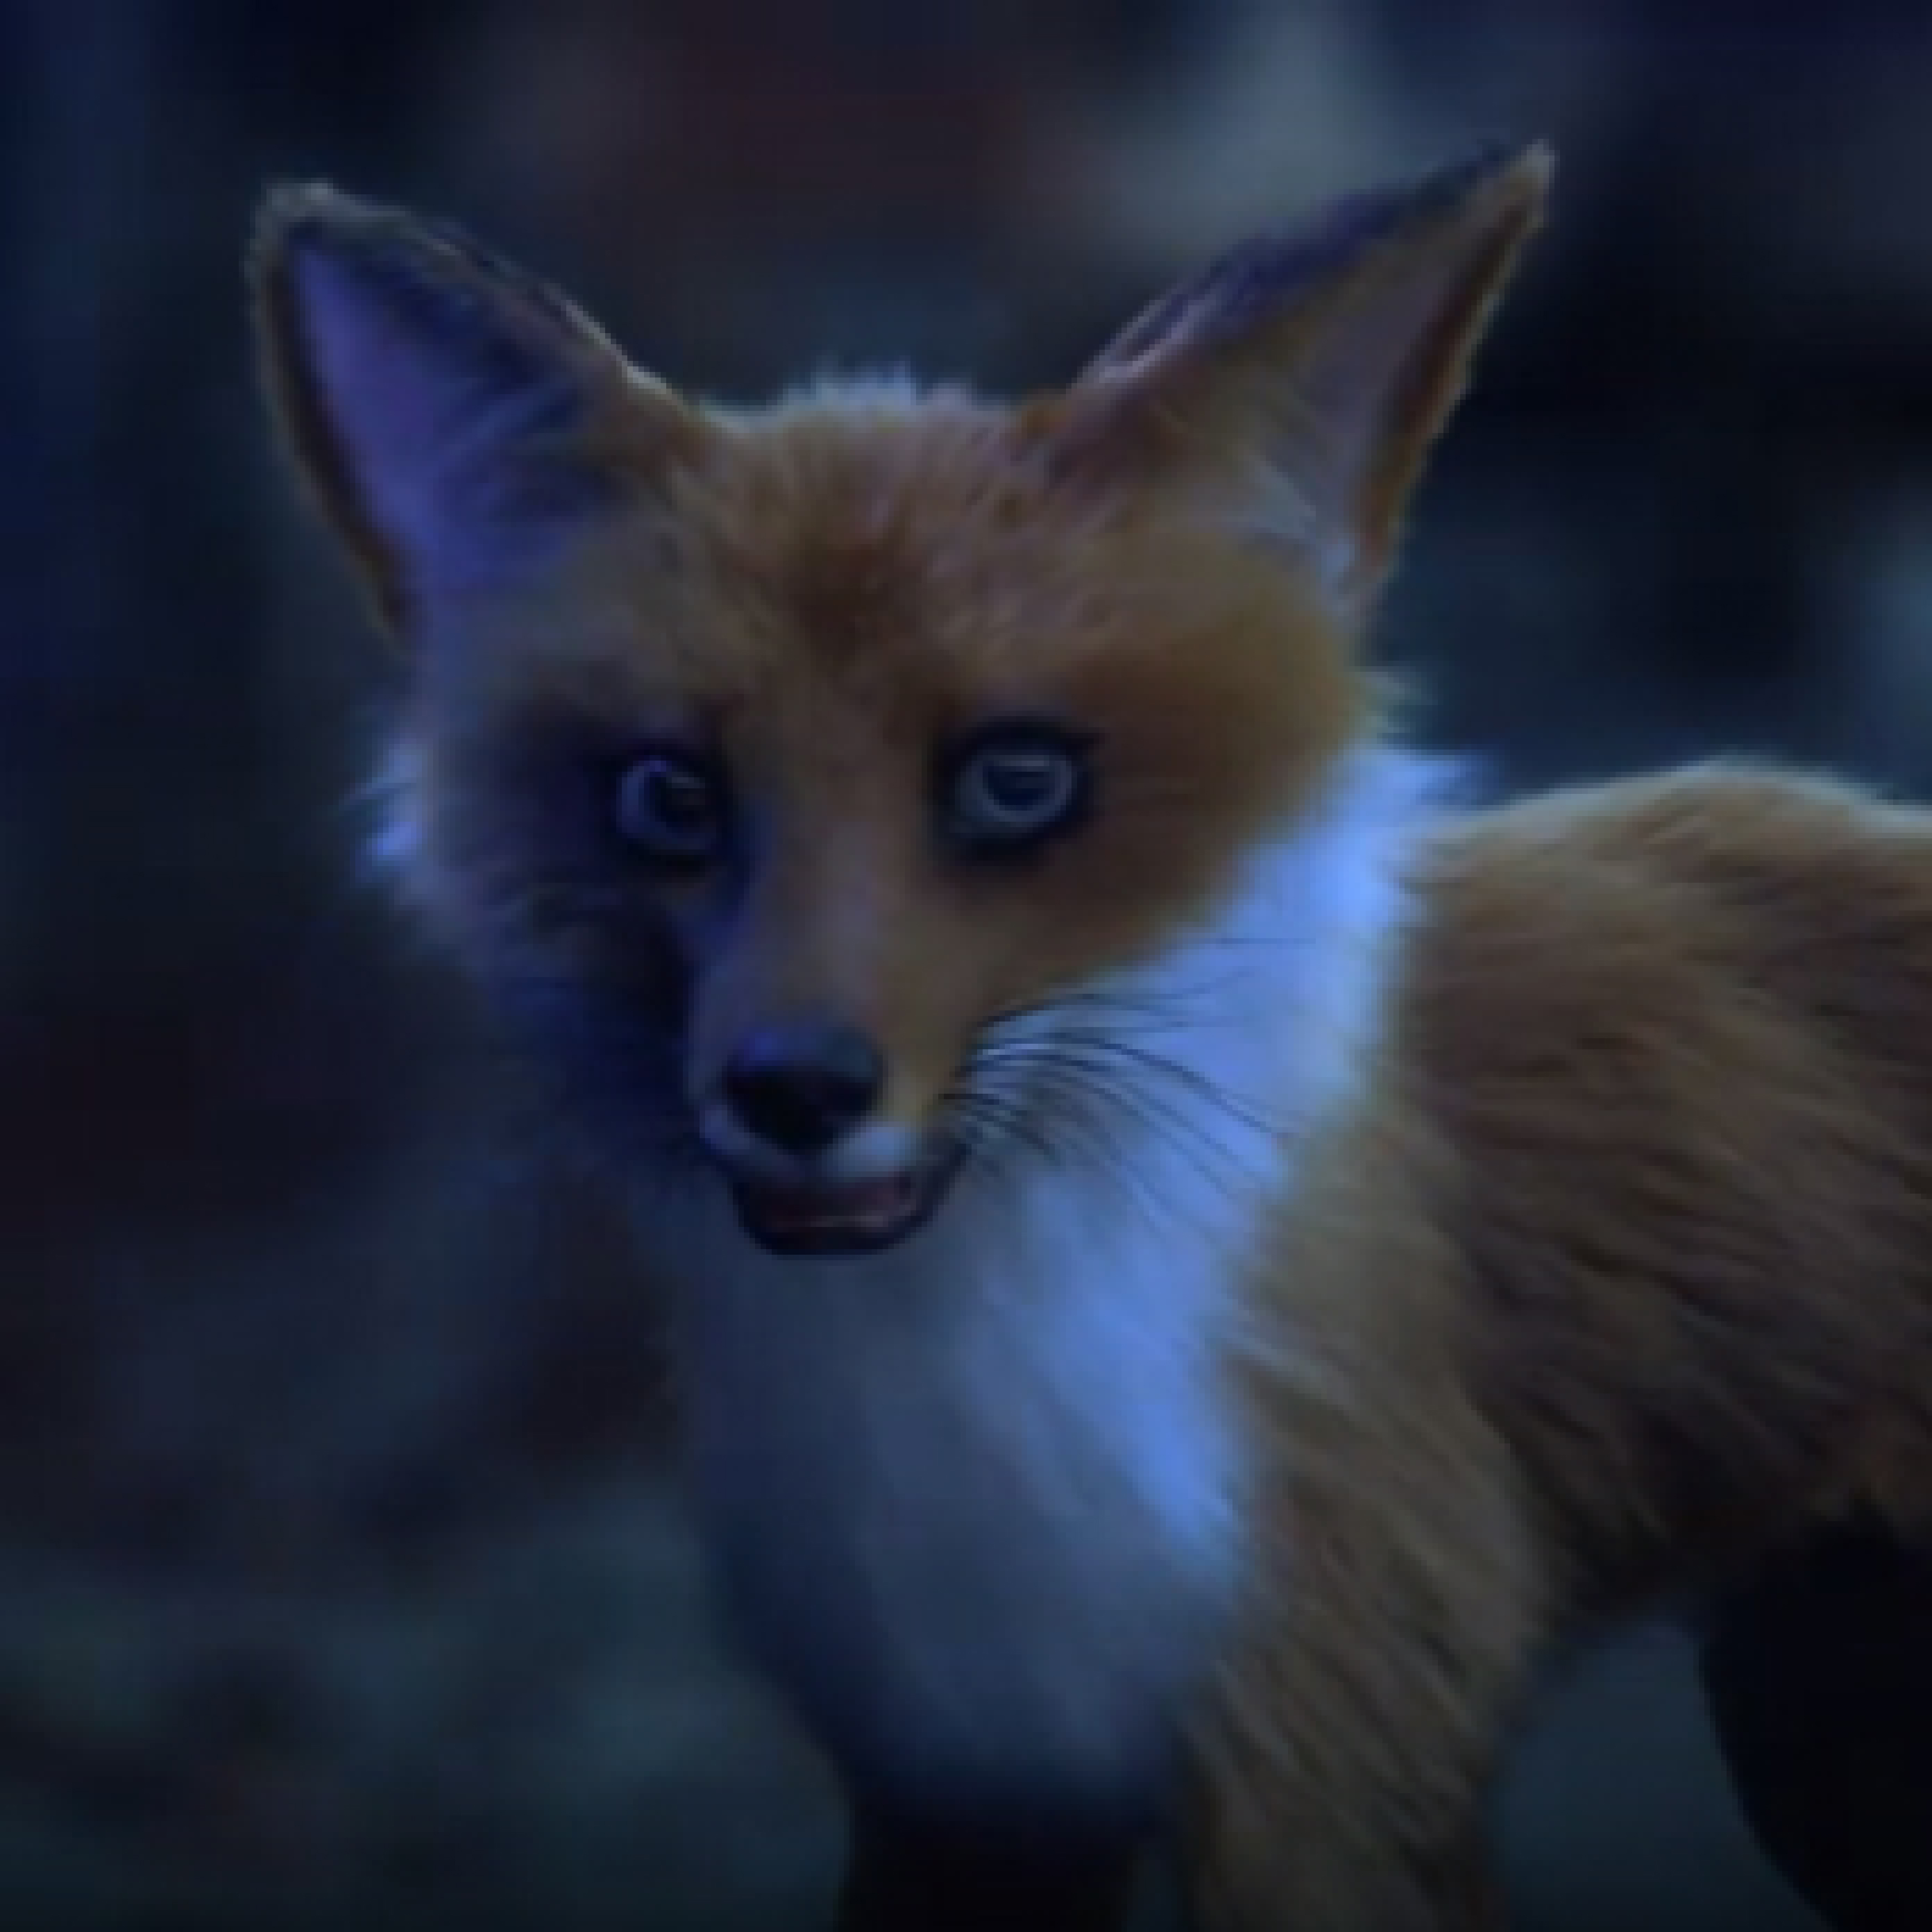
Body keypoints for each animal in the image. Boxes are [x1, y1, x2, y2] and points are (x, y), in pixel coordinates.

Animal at [247, 141, 1932, 1931]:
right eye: (669, 797)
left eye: (1016, 779)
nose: (794, 1090)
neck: (979, 1441)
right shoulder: (963, 1793)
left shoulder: (1334, 1748)